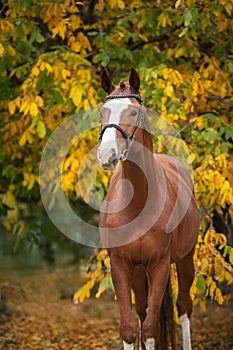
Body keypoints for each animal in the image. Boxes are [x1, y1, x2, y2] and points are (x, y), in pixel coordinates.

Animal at [97, 68, 199, 350]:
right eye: (102, 112)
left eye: (133, 113)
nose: (106, 154)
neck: (137, 204)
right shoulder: (121, 264)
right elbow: (130, 328)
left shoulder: (160, 264)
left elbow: (152, 328)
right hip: (138, 272)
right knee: (143, 312)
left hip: (185, 259)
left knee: (184, 308)